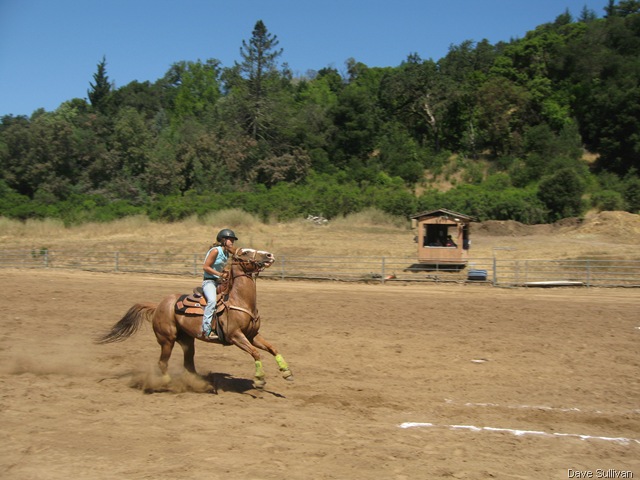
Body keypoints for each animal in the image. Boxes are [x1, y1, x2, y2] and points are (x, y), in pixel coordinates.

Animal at [96, 247, 293, 389]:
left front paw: (286, 372)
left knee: (188, 364)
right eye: (244, 252)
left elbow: (272, 348)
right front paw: (260, 379)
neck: (240, 300)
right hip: (166, 339)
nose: (269, 255)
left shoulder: (252, 335)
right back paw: (167, 383)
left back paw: (201, 382)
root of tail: (159, 305)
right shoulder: (235, 336)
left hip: (187, 340)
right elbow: (255, 352)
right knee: (162, 362)